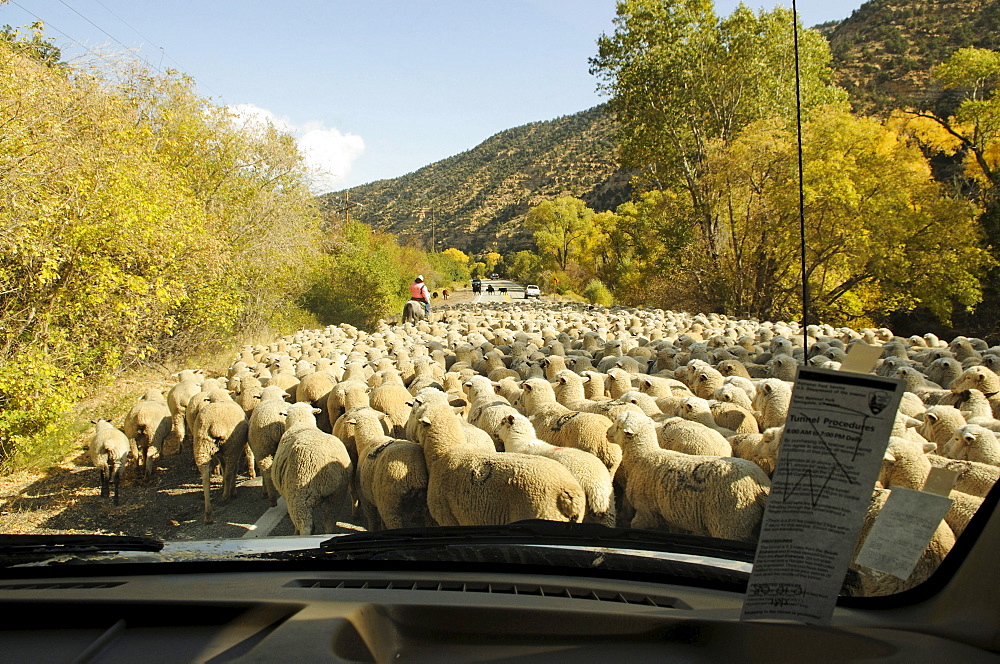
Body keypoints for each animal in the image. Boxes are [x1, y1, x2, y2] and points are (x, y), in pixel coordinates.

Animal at [191, 390, 248, 524]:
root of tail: (214, 425)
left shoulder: (220, 454)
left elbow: (223, 466)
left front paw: (223, 485)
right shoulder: (236, 449)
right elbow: (231, 469)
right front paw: (231, 489)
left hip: (202, 447)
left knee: (206, 479)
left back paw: (208, 514)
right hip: (232, 446)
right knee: (229, 473)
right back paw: (227, 496)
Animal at [272, 400, 354, 536]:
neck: (301, 423)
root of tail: (328, 472)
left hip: (300, 497)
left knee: (305, 527)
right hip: (337, 496)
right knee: (329, 524)